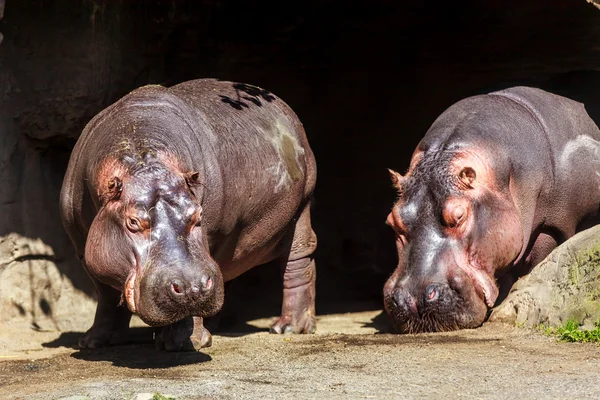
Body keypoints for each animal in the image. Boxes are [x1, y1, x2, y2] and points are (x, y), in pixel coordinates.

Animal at [58, 79, 316, 350]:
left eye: (197, 215)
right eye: (133, 222)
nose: (193, 286)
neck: (142, 157)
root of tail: (280, 103)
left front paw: (182, 343)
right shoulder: (84, 249)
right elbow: (106, 294)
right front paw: (93, 342)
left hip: (302, 207)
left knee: (299, 260)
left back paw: (288, 327)